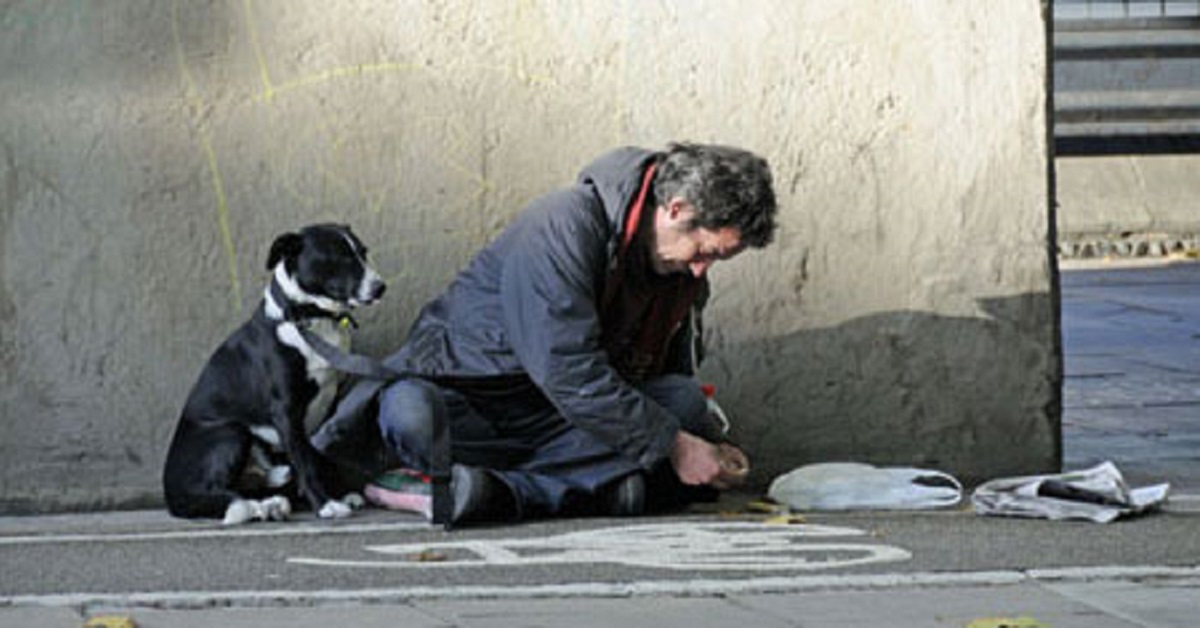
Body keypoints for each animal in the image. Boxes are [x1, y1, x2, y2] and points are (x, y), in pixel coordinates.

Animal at [163, 223, 384, 523]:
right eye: (339, 257)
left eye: (363, 252)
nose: (380, 287)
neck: (308, 318)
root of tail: (170, 493)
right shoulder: (285, 410)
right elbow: (306, 463)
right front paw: (325, 504)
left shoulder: (331, 401)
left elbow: (322, 456)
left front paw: (340, 493)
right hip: (230, 431)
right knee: (215, 492)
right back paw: (258, 506)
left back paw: (270, 503)